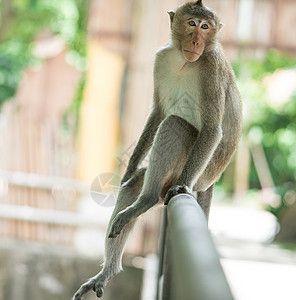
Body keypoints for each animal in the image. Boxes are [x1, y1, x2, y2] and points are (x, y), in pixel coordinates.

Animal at [73, 1, 242, 298]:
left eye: (205, 26)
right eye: (191, 23)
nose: (196, 40)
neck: (185, 61)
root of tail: (212, 181)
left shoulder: (211, 67)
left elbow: (211, 128)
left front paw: (181, 186)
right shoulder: (161, 58)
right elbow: (158, 112)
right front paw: (129, 168)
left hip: (202, 170)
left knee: (175, 125)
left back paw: (148, 199)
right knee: (134, 183)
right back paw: (109, 270)